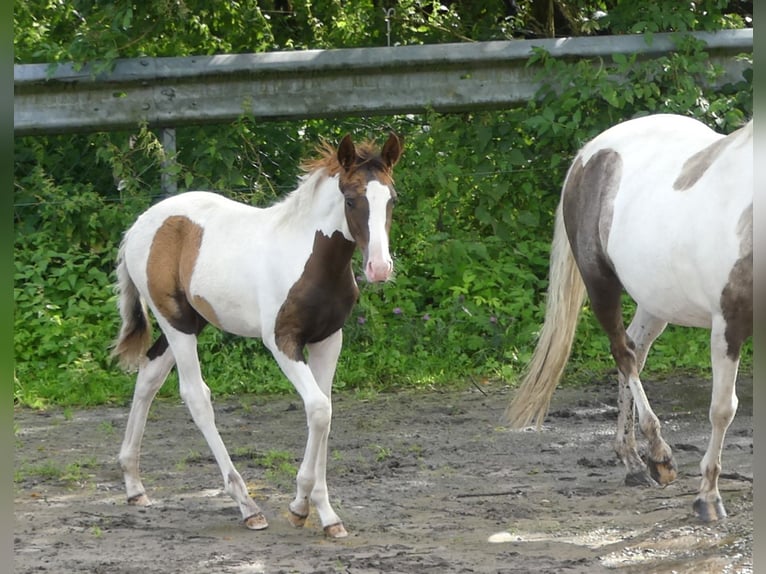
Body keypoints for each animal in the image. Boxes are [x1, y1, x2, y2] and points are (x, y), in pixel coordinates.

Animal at [113, 133, 404, 536]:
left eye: (392, 198)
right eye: (350, 199)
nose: (379, 268)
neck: (311, 259)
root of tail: (140, 224)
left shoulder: (329, 339)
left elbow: (325, 410)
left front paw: (321, 512)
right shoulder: (282, 341)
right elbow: (318, 408)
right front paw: (301, 506)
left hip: (192, 320)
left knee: (149, 375)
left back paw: (134, 485)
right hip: (176, 322)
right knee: (196, 396)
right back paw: (247, 506)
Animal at [508, 115, 752, 524]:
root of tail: (588, 153)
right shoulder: (727, 325)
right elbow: (722, 409)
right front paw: (707, 498)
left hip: (655, 301)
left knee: (635, 351)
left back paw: (632, 460)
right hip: (601, 285)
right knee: (623, 353)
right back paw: (657, 455)